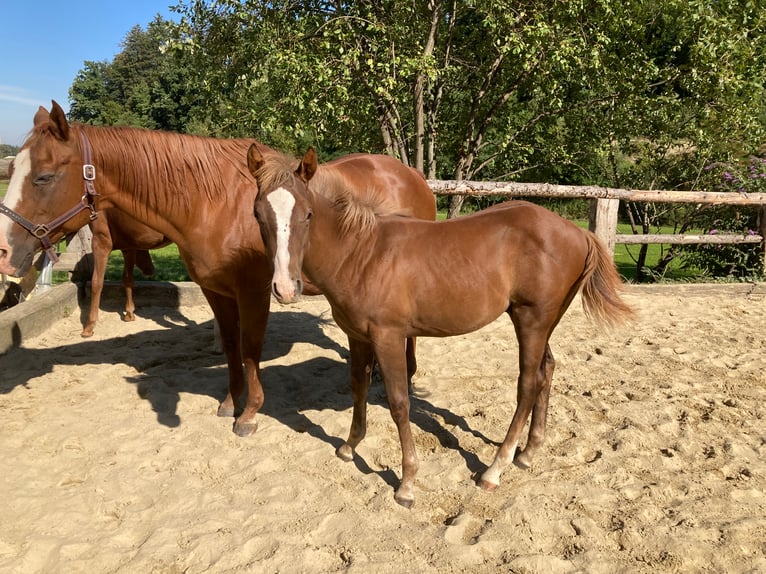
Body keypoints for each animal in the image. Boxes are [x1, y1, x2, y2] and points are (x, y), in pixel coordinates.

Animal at [0, 102, 436, 436]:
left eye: (44, 176)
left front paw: (250, 413)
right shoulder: (216, 291)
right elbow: (230, 346)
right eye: (16, 169)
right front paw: (230, 402)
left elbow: (251, 348)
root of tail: (414, 176)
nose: (4, 251)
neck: (213, 202)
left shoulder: (254, 292)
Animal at [252, 147, 636, 508]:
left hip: (532, 319)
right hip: (540, 321)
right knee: (548, 369)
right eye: (258, 214)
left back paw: (495, 469)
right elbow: (358, 386)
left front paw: (407, 484)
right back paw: (528, 453)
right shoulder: (357, 336)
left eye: (308, 214)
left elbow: (399, 403)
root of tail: (578, 232)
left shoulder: (388, 337)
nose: (285, 289)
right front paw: (349, 446)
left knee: (528, 384)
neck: (361, 255)